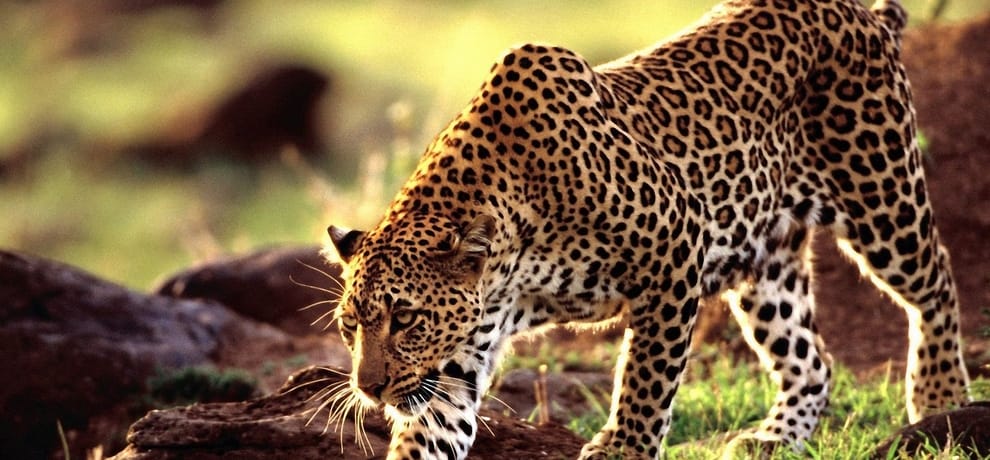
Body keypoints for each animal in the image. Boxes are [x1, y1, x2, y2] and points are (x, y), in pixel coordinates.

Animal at [325, 0, 972, 458]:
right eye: (350, 325)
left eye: (406, 319)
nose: (370, 389)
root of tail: (862, 11)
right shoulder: (458, 357)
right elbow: (433, 430)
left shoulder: (676, 249)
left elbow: (646, 376)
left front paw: (623, 448)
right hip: (766, 263)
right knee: (810, 358)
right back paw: (774, 439)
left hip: (881, 198)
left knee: (937, 283)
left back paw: (940, 400)